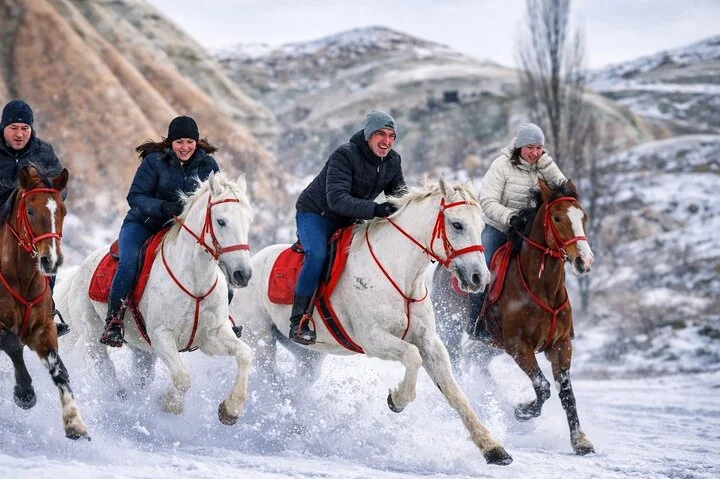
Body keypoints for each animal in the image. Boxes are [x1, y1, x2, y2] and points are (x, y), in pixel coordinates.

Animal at [0, 165, 88, 440]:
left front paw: (74, 422)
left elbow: (59, 370)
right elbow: (13, 345)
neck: (21, 277)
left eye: (63, 211)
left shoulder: (42, 329)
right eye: (29, 210)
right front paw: (24, 393)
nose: (52, 260)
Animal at [57, 172, 254, 425]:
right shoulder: (161, 336)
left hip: (142, 351)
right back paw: (119, 397)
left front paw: (230, 409)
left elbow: (245, 355)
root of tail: (80, 269)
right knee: (105, 366)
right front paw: (170, 404)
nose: (242, 274)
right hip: (93, 334)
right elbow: (182, 377)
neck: (195, 280)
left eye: (248, 222)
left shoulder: (212, 336)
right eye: (221, 221)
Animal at [231, 177, 513, 466]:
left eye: (481, 226)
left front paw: (492, 447)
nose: (480, 278)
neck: (401, 274)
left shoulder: (429, 342)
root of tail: (247, 268)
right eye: (457, 224)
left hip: (308, 356)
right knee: (274, 382)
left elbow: (454, 392)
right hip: (262, 341)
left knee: (296, 384)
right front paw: (397, 399)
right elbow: (412, 357)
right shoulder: (373, 339)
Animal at [431, 179, 596, 455]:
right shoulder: (518, 346)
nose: (584, 260)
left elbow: (566, 393)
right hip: (450, 331)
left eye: (583, 216)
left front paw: (580, 440)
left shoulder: (561, 345)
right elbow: (542, 387)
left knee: (476, 360)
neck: (543, 287)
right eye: (557, 217)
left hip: (488, 347)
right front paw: (522, 411)